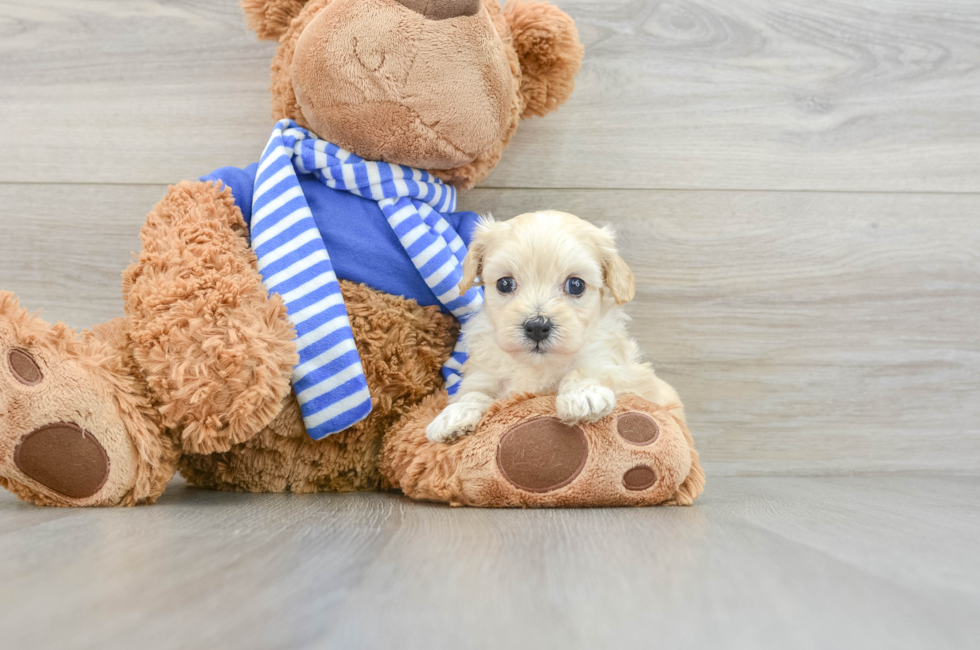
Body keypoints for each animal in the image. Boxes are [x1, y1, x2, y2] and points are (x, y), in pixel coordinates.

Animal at [424, 210, 684, 442]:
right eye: (505, 283)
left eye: (576, 285)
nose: (537, 327)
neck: (539, 365)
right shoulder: (485, 374)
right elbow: (473, 392)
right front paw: (452, 416)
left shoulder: (621, 370)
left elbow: (587, 369)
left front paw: (583, 396)